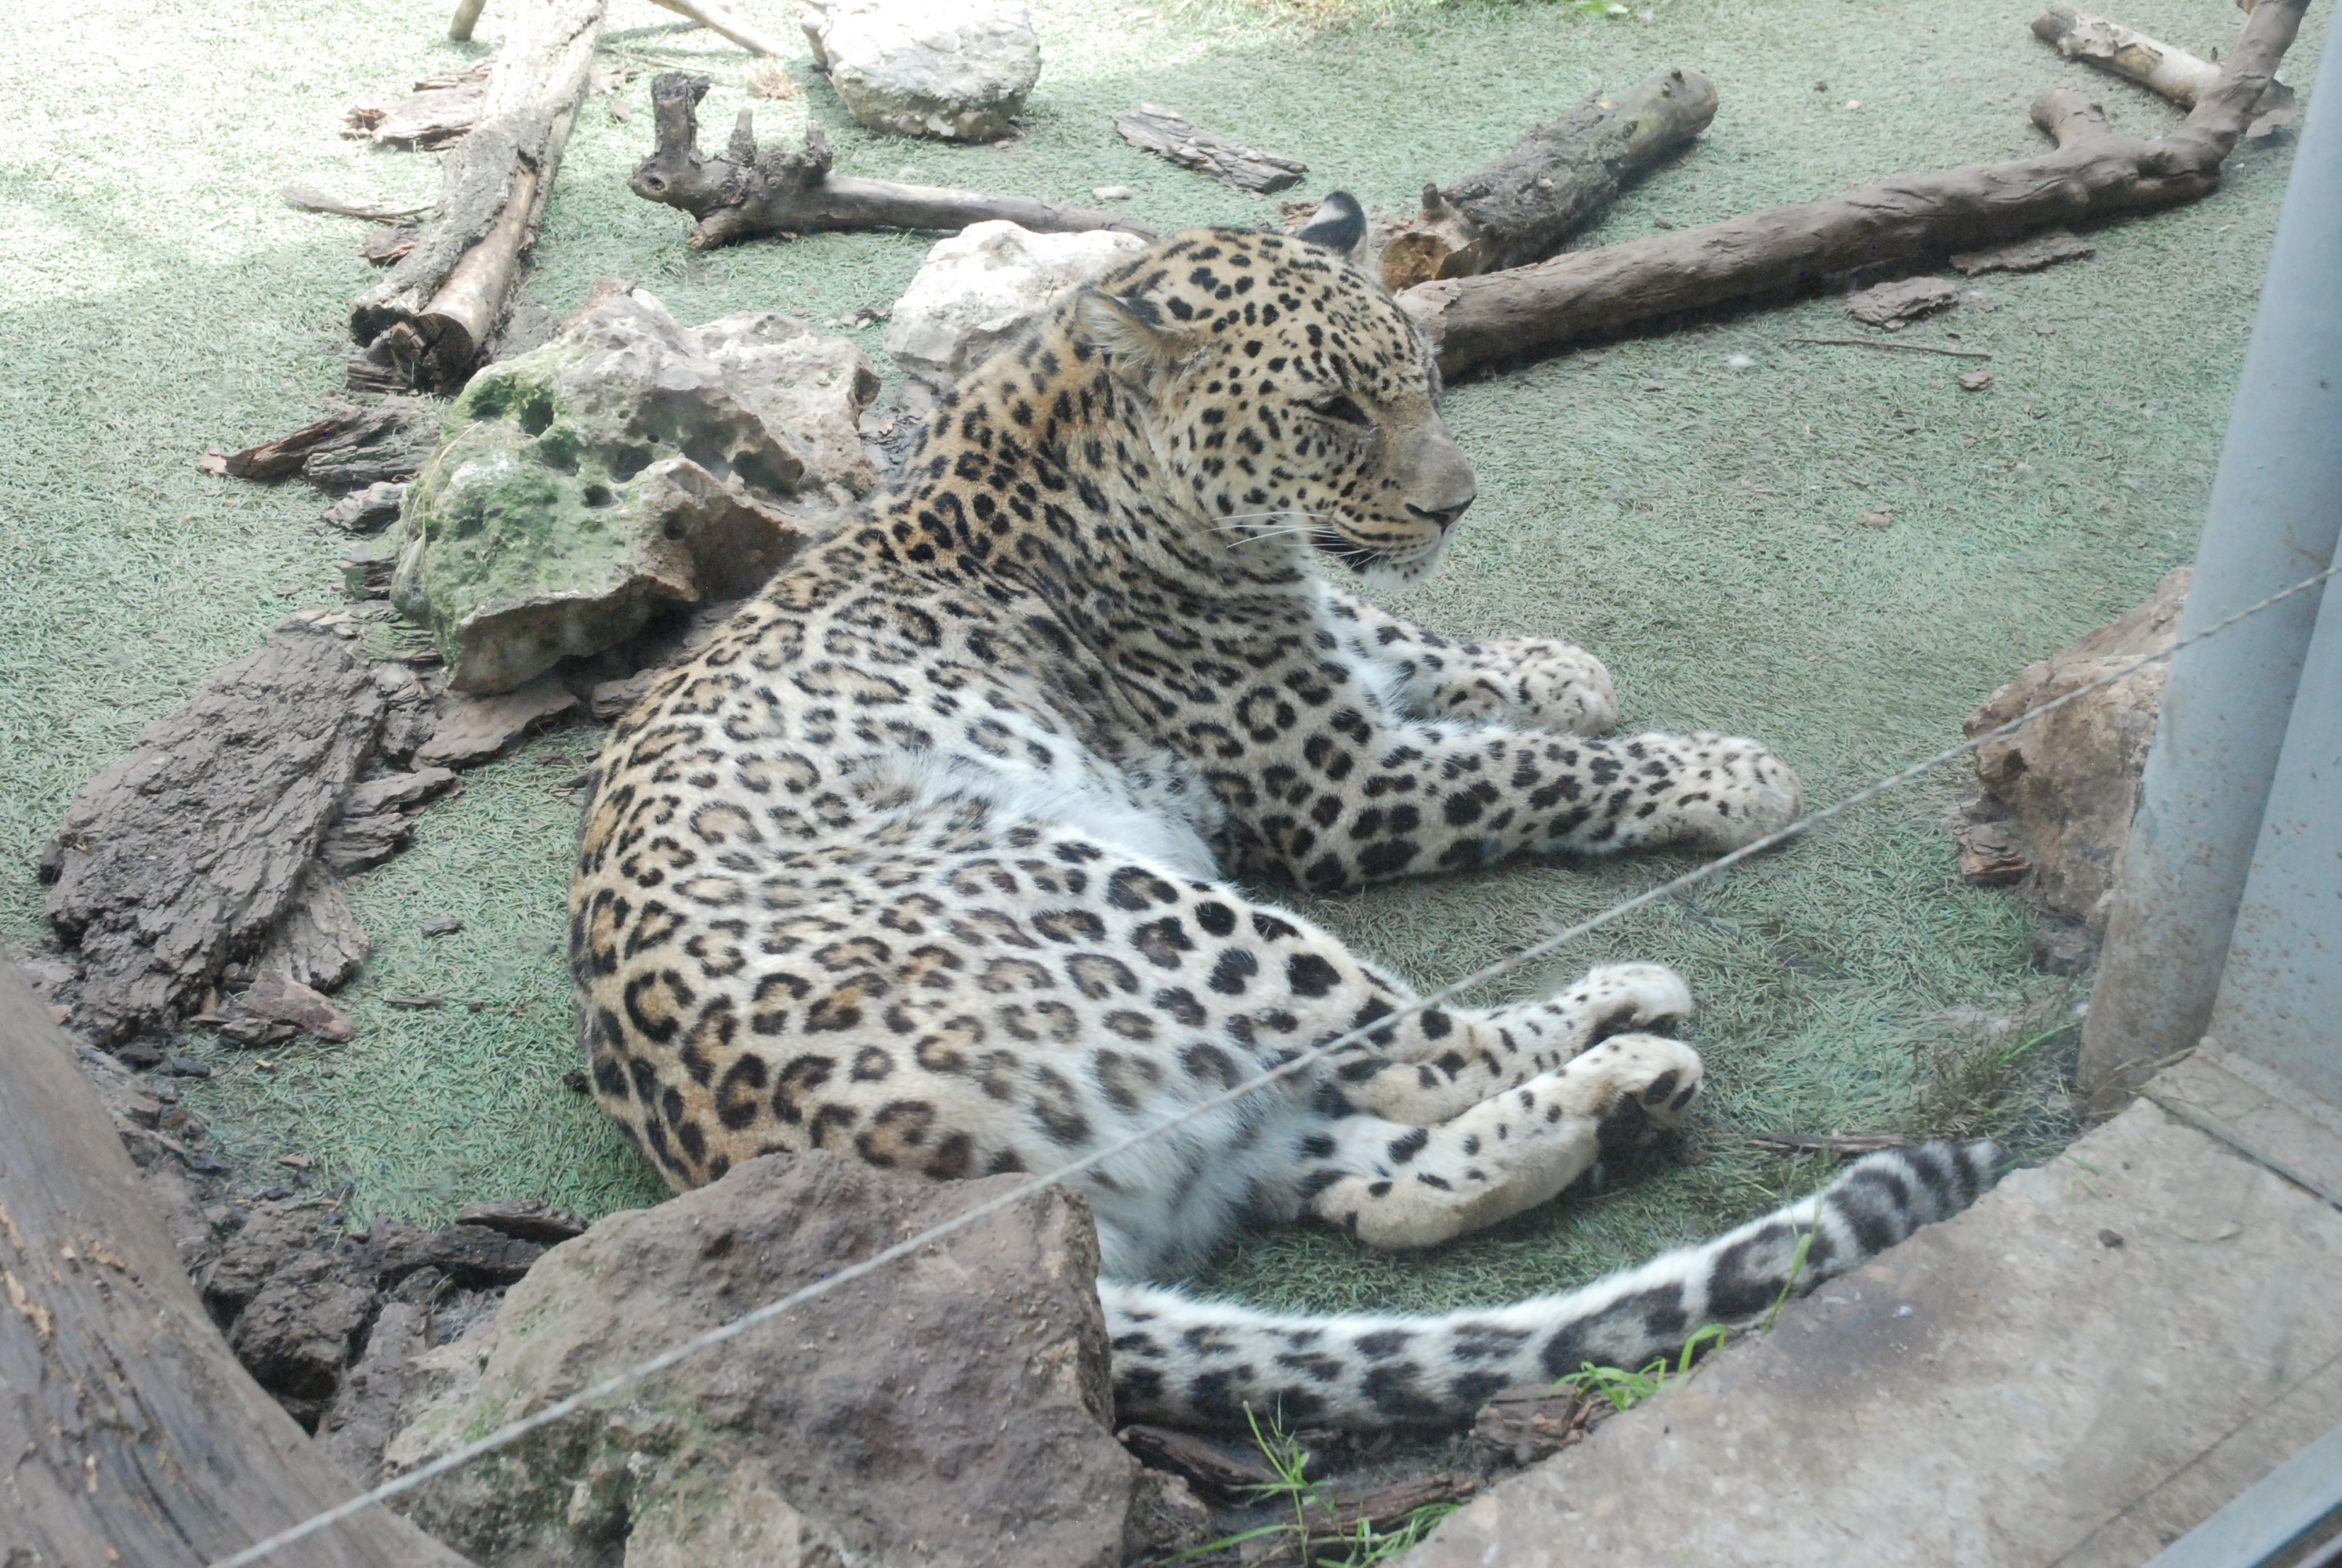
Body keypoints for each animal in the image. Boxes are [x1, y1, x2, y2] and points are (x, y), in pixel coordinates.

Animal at [570, 199, 2003, 1431]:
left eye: (1419, 373)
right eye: (1329, 408)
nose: (1456, 503)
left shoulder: (1333, 667)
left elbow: (1406, 639)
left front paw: (1553, 668)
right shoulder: (1341, 784)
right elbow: (1534, 773)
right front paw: (1718, 774)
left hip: (1192, 1100)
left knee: (1384, 1183)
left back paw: (1627, 1098)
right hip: (1128, 898)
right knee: (1422, 1051)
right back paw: (1627, 1010)